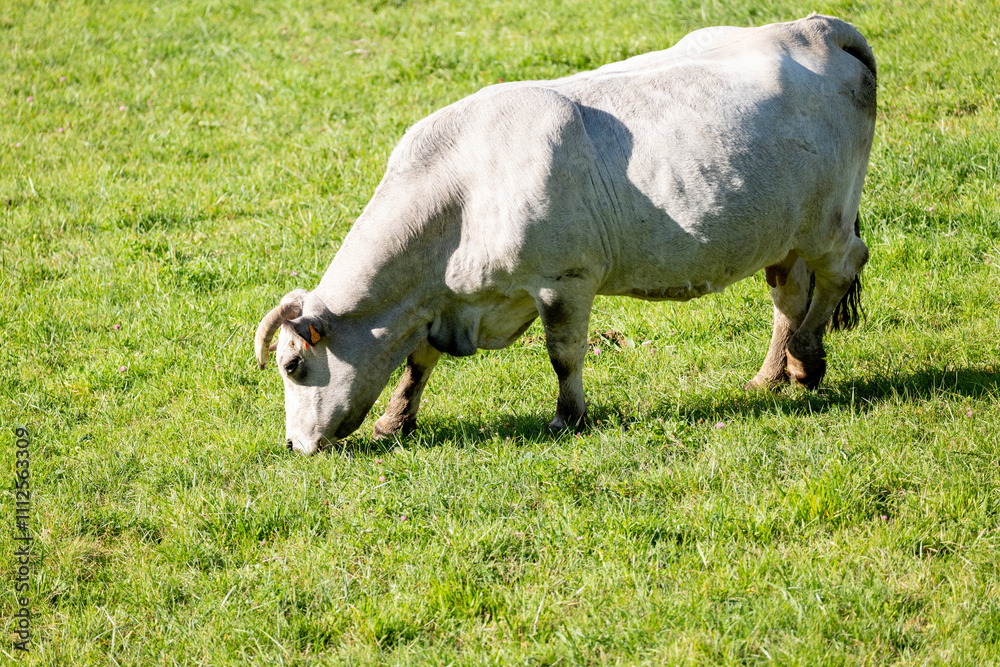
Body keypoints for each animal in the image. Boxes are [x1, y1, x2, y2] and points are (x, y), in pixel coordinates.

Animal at [256, 15, 876, 456]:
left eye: (292, 366)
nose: (293, 444)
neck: (460, 194)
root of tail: (817, 27)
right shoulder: (445, 301)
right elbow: (418, 360)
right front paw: (394, 420)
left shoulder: (564, 280)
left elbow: (563, 353)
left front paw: (567, 416)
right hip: (784, 233)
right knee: (789, 296)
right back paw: (773, 376)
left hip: (827, 223)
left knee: (843, 268)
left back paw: (805, 357)